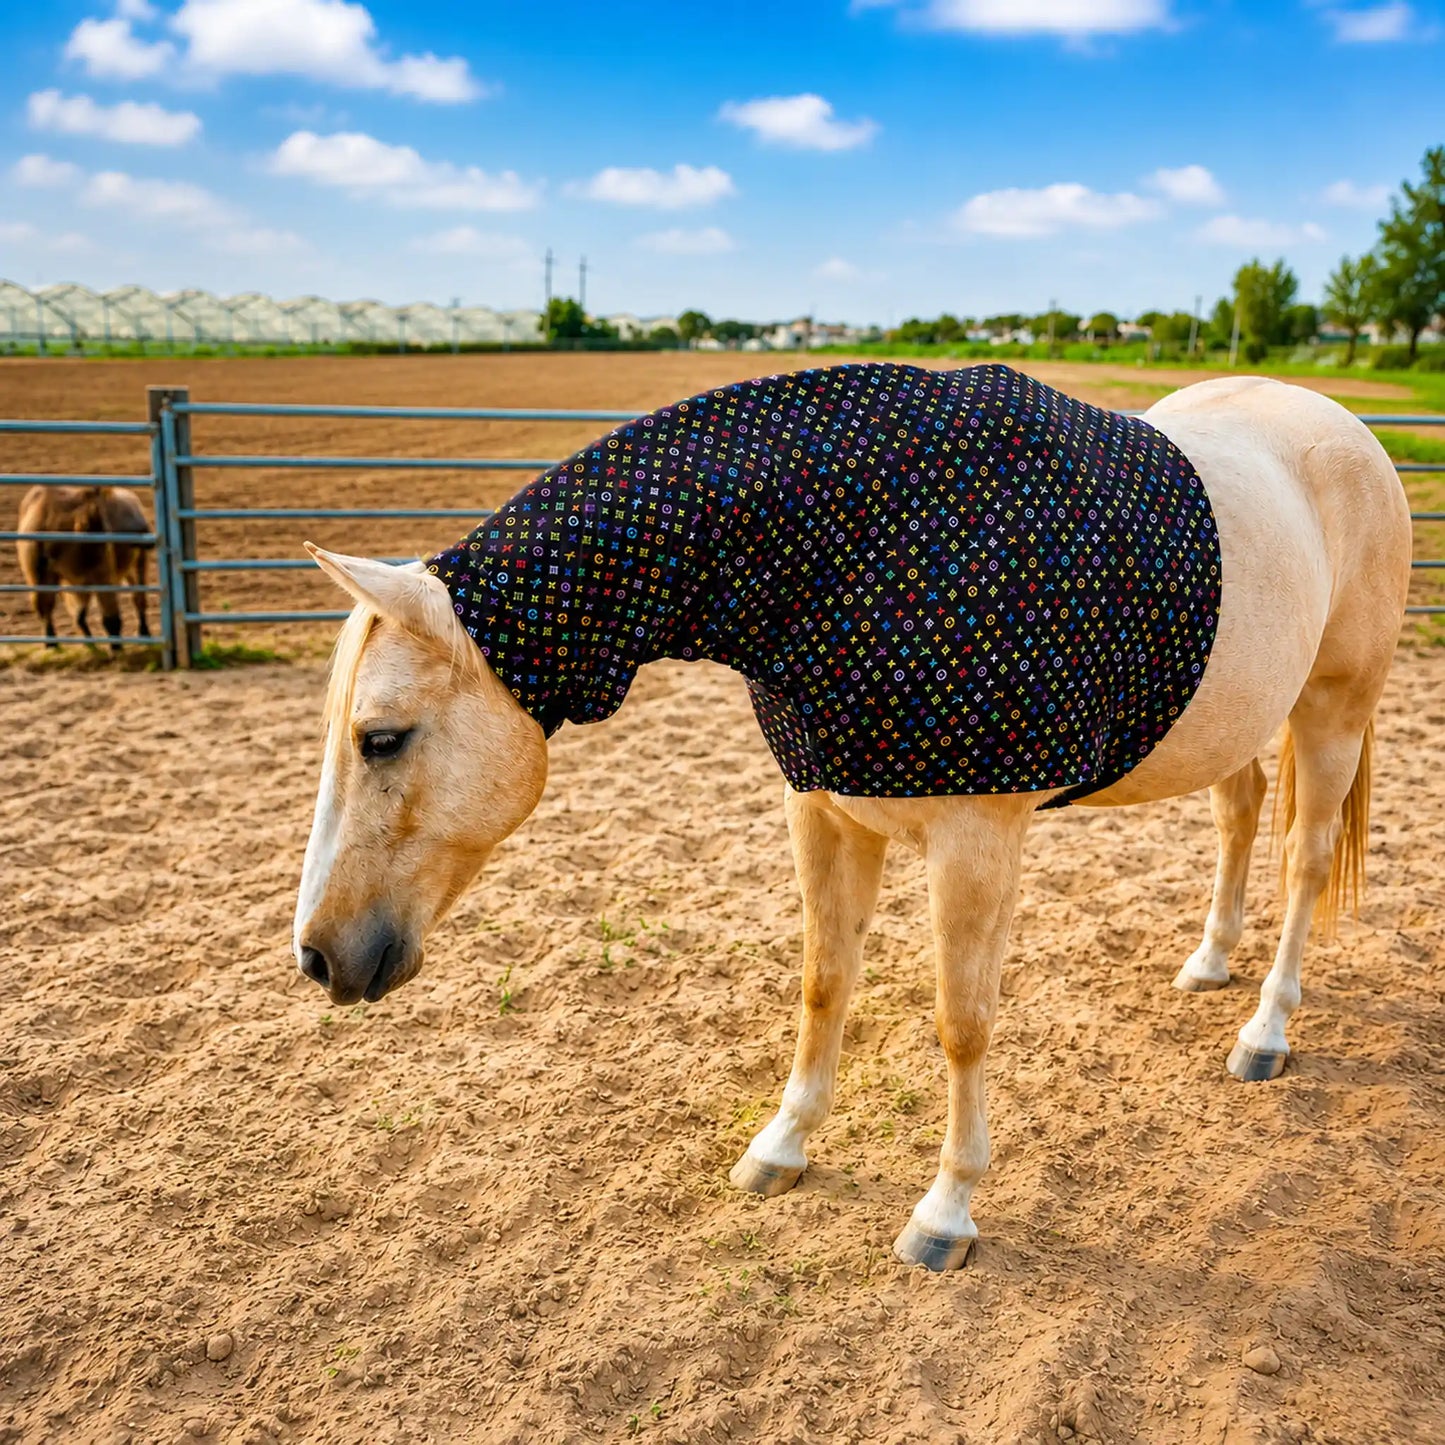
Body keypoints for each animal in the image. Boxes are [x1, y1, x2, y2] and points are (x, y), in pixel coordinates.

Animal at [16, 484, 153, 650]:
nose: (147, 531)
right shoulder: (42, 576)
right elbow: (49, 608)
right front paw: (51, 644)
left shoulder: (102, 575)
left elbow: (111, 617)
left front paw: (116, 648)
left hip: (137, 565)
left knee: (139, 598)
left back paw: (144, 633)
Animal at [292, 365, 1411, 1272]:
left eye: (380, 737)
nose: (318, 955)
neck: (862, 548)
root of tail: (1347, 433)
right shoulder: (824, 812)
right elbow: (823, 983)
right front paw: (780, 1146)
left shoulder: (975, 840)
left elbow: (961, 1023)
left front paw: (945, 1211)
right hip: (1237, 717)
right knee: (1239, 814)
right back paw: (1208, 961)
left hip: (1331, 707)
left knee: (1305, 859)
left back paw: (1263, 1028)